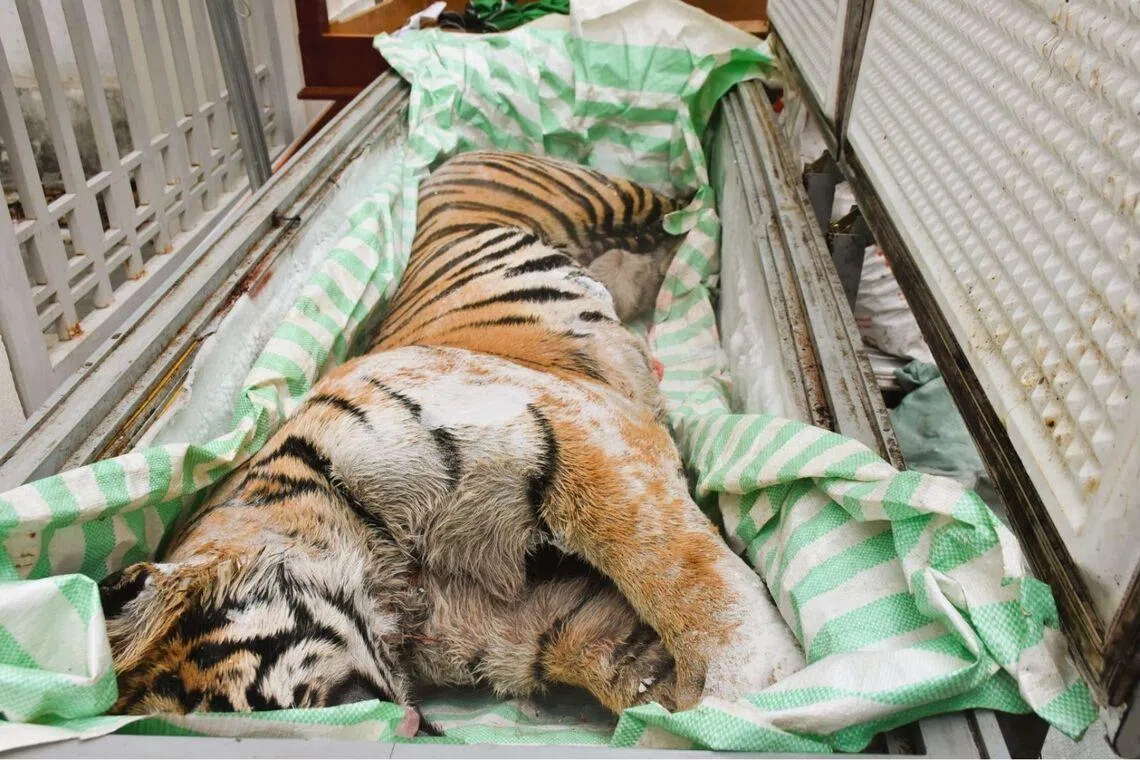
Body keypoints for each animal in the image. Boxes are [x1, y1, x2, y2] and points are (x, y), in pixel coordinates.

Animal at [97, 150, 804, 735]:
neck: (394, 581)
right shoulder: (538, 621)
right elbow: (624, 656)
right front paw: (690, 705)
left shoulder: (567, 431)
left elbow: (672, 564)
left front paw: (749, 684)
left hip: (596, 194)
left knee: (673, 203)